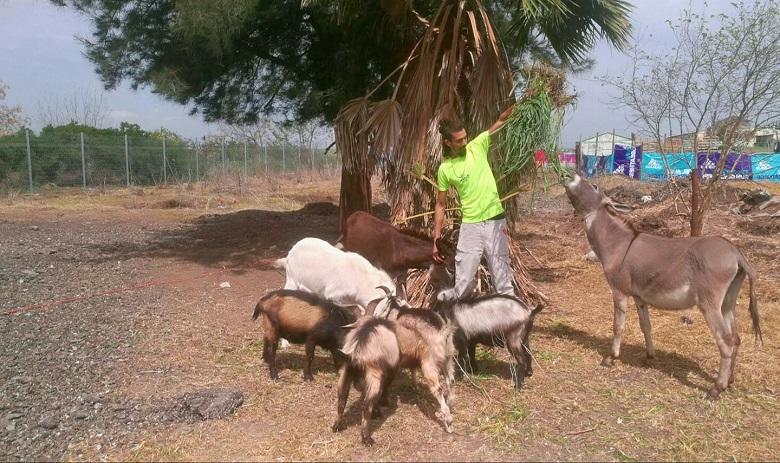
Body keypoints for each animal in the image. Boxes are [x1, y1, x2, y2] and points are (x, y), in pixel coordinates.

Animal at [564, 176, 760, 400]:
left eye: (594, 186)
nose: (569, 177)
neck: (619, 244)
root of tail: (736, 254)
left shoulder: (620, 292)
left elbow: (618, 326)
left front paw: (610, 358)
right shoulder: (639, 297)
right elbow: (646, 326)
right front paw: (649, 356)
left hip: (709, 303)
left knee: (725, 341)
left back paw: (716, 388)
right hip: (727, 301)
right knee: (735, 338)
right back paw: (729, 381)